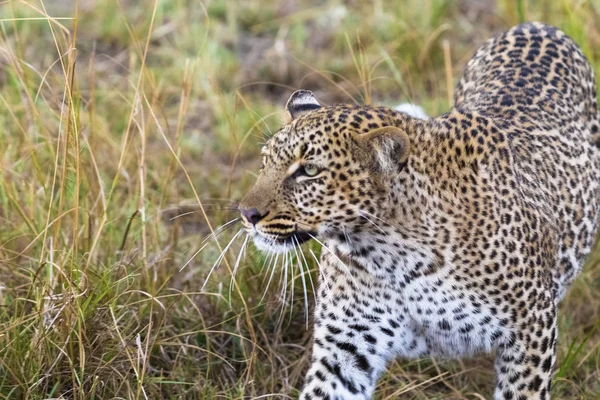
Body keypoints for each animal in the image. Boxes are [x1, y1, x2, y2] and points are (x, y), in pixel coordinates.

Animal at [238, 22, 600, 400]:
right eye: (265, 161)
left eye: (309, 171)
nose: (247, 213)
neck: (389, 253)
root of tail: (535, 25)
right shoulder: (346, 346)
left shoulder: (531, 330)